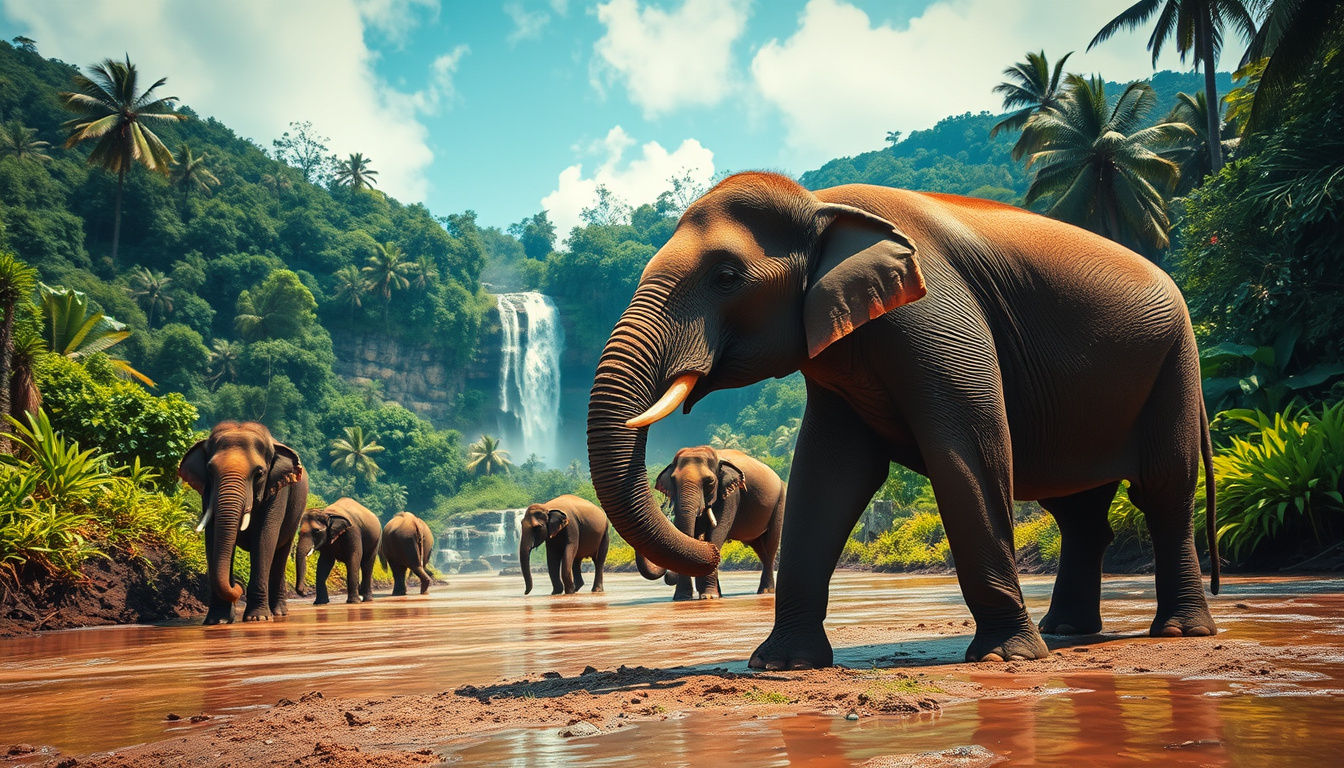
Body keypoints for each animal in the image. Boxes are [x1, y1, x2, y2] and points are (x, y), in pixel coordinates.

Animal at [178, 421, 307, 625]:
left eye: (259, 473)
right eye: (210, 471)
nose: (238, 586)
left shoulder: (277, 492)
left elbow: (264, 537)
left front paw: (258, 618)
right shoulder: (207, 493)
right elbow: (212, 536)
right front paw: (217, 621)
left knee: (281, 553)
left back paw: (279, 613)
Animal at [635, 446, 785, 600]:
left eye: (710, 482)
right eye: (673, 480)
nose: (669, 577)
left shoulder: (732, 495)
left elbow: (716, 532)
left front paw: (709, 596)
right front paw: (683, 597)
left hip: (780, 500)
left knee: (771, 544)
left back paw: (765, 591)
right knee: (760, 548)